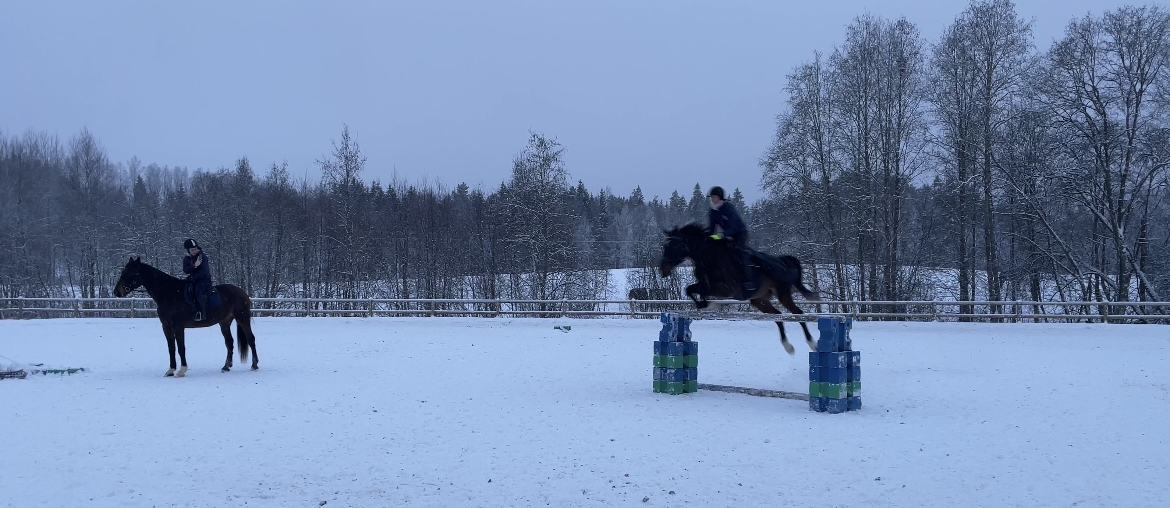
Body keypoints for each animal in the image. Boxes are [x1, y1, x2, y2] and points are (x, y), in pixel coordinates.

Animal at [111, 256, 258, 374]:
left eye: (130, 273)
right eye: (123, 272)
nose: (117, 292)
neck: (169, 294)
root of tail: (242, 292)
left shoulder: (178, 327)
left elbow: (181, 348)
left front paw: (182, 370)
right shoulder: (166, 327)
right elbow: (171, 348)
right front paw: (171, 370)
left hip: (242, 318)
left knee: (250, 339)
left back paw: (254, 365)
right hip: (224, 322)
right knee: (229, 342)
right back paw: (226, 367)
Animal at [659, 224, 823, 355]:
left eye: (674, 246)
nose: (663, 270)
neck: (708, 257)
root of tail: (783, 260)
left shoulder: (724, 289)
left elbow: (700, 291)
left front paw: (709, 305)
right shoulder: (706, 285)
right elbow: (690, 289)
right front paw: (705, 305)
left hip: (782, 293)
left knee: (798, 314)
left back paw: (812, 344)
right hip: (759, 299)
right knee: (777, 316)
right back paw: (788, 346)